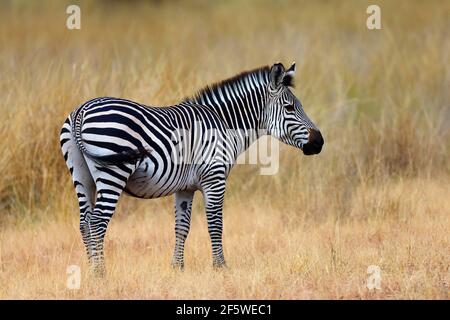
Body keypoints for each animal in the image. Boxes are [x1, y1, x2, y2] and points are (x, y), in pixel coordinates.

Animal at [59, 62, 324, 276]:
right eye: (290, 108)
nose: (319, 142)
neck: (225, 124)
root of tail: (81, 111)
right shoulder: (215, 177)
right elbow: (215, 224)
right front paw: (220, 267)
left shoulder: (185, 188)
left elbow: (182, 227)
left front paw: (177, 268)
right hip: (112, 172)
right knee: (97, 221)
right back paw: (100, 272)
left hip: (81, 174)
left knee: (85, 221)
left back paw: (90, 270)